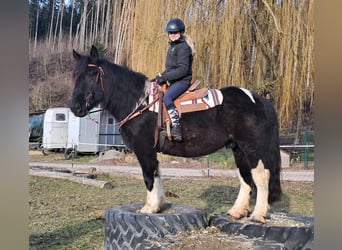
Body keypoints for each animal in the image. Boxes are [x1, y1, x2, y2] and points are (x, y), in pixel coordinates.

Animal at [69, 46, 280, 224]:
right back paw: (236, 212)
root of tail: (258, 101)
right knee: (245, 177)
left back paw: (258, 214)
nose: (75, 107)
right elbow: (157, 174)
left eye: (93, 74)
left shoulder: (144, 150)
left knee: (261, 176)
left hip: (252, 148)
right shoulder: (151, 151)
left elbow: (149, 176)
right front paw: (160, 205)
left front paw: (149, 208)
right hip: (238, 149)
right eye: (75, 75)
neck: (139, 102)